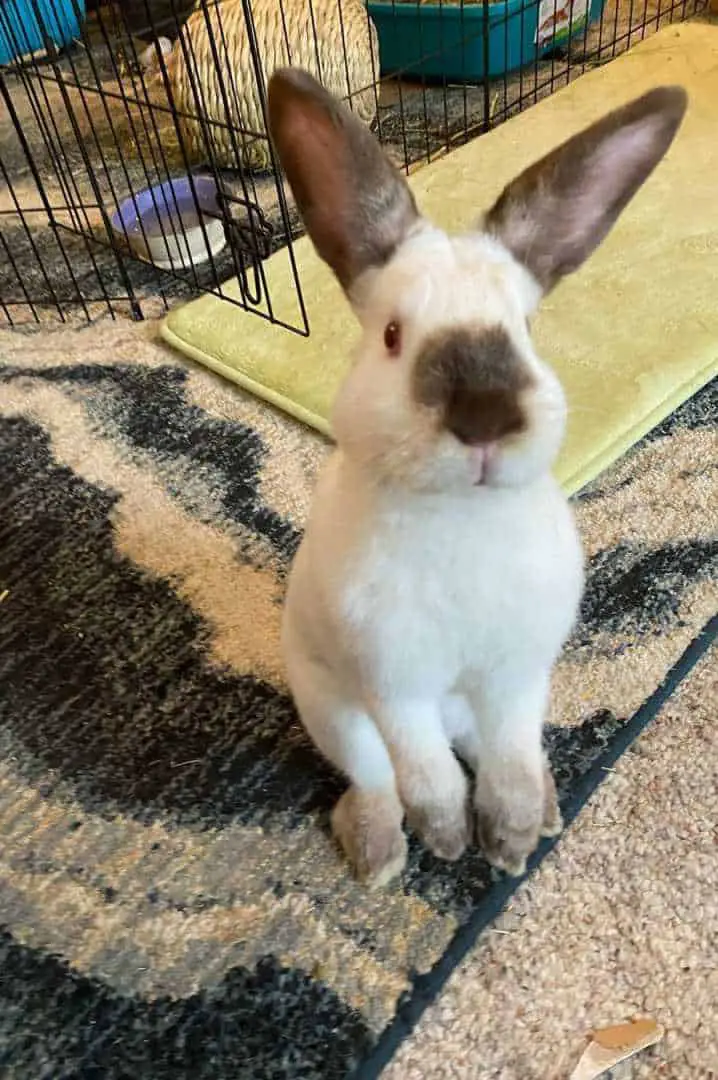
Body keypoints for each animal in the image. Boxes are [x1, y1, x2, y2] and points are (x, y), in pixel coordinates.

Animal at [265, 69, 686, 885]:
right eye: (393, 335)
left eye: (524, 331)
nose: (486, 417)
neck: (459, 514)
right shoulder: (394, 684)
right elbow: (425, 775)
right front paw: (450, 841)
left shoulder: (518, 674)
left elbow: (512, 765)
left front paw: (512, 844)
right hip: (332, 709)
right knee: (374, 780)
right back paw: (381, 858)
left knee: (490, 755)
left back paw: (546, 812)